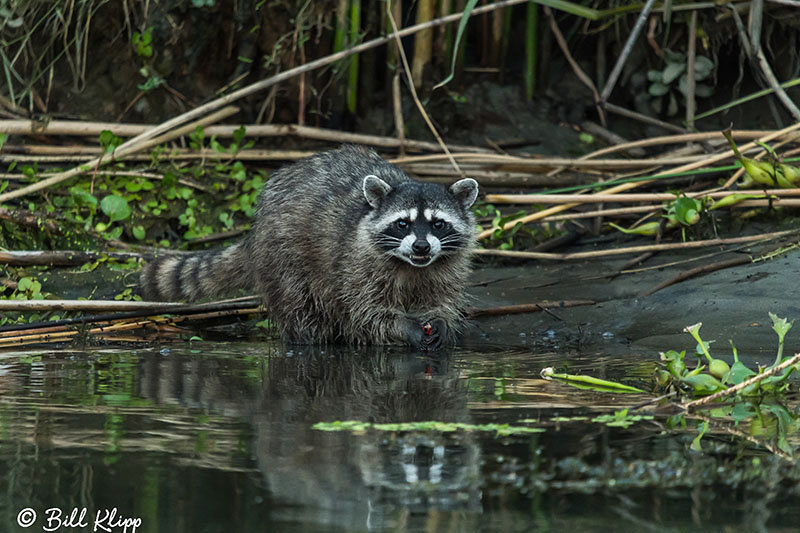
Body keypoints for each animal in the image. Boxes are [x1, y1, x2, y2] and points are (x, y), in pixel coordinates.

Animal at [138, 144, 478, 350]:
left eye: (438, 224)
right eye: (403, 224)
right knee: (301, 310)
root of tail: (255, 230)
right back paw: (308, 341)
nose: (421, 247)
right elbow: (367, 311)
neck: (411, 266)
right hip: (282, 256)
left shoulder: (445, 267)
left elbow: (442, 299)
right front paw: (404, 328)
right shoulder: (357, 264)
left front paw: (440, 322)